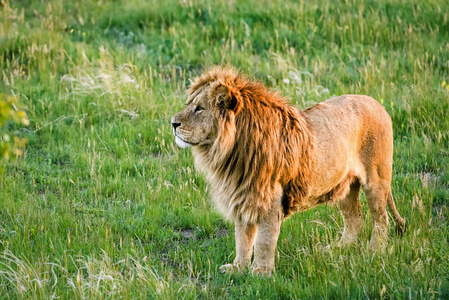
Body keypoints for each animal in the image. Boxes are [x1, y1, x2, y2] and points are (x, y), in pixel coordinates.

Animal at [170, 67, 404, 276]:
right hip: (344, 185)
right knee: (355, 219)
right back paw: (337, 249)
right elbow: (242, 239)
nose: (173, 123)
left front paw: (260, 273)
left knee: (381, 219)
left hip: (376, 180)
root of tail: (377, 103)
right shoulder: (243, 196)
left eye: (199, 108)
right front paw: (237, 269)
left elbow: (264, 240)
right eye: (189, 105)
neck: (230, 151)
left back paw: (374, 252)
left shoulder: (269, 199)